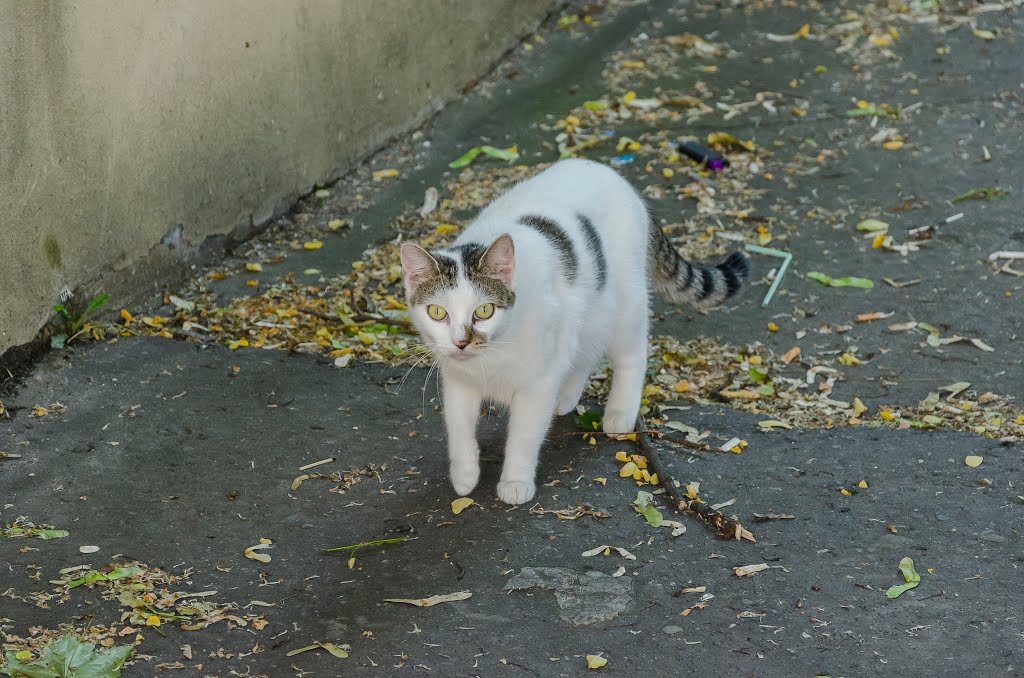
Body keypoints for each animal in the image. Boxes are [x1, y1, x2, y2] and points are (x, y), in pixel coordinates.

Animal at [397, 156, 745, 501]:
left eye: (484, 311)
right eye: (437, 312)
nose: (461, 342)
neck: (491, 354)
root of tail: (607, 171)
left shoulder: (536, 384)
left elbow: (524, 436)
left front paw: (515, 482)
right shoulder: (458, 380)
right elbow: (458, 429)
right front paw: (464, 475)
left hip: (626, 303)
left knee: (631, 354)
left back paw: (619, 411)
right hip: (586, 313)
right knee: (583, 350)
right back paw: (565, 396)